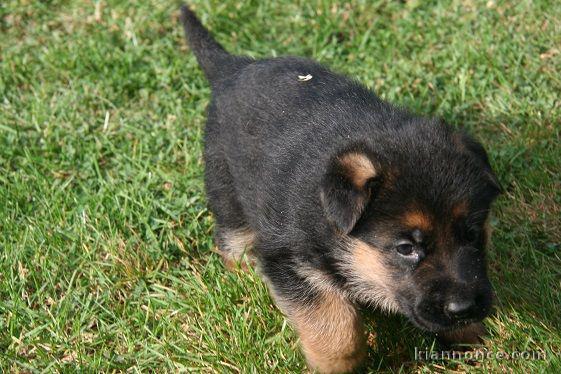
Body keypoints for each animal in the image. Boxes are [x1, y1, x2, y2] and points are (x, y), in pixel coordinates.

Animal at [179, 4, 498, 372]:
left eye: (473, 233)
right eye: (406, 248)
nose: (464, 308)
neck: (329, 219)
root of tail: (233, 68)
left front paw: (469, 337)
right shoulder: (289, 261)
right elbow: (332, 323)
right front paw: (338, 362)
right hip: (224, 184)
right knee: (231, 235)